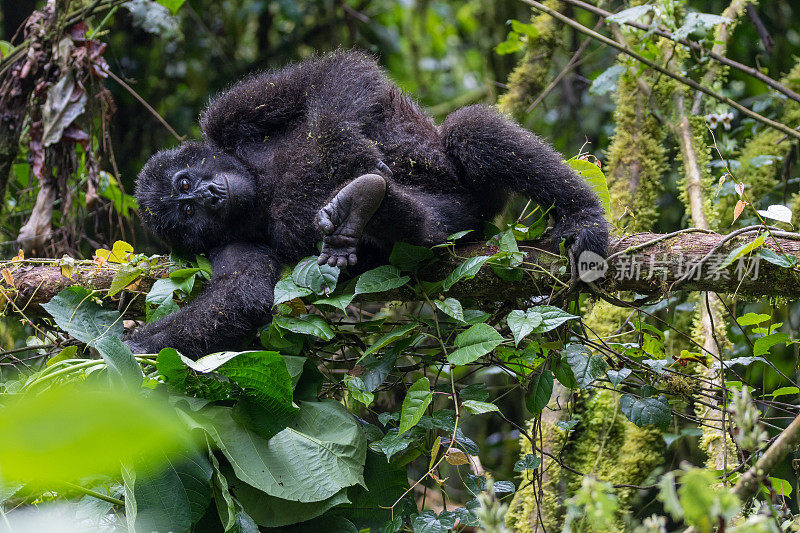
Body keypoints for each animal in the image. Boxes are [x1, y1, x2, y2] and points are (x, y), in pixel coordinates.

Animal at [128, 51, 608, 358]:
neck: (253, 183)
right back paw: (362, 210)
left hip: (479, 195)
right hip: (460, 223)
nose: (207, 195)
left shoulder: (223, 120)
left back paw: (584, 218)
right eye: (186, 212)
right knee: (427, 232)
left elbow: (335, 74)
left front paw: (339, 142)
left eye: (185, 183)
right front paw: (137, 346)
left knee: (470, 130)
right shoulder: (227, 244)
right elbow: (239, 295)